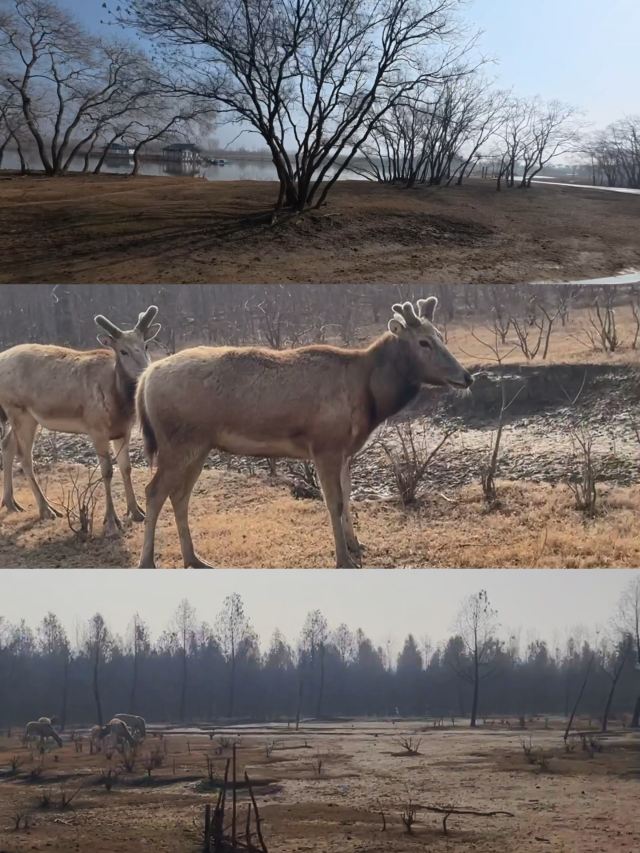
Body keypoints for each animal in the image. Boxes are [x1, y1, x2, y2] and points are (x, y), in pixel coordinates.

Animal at [0, 306, 160, 535]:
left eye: (145, 345)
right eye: (123, 351)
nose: (144, 372)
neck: (118, 401)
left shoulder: (123, 430)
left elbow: (126, 468)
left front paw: (136, 511)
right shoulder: (96, 428)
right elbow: (107, 471)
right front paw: (111, 521)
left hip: (23, 416)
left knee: (7, 445)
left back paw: (11, 503)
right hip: (19, 411)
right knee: (25, 458)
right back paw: (47, 509)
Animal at [136, 297, 473, 569]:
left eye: (439, 336)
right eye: (424, 342)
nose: (466, 377)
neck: (370, 398)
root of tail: (145, 378)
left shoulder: (345, 450)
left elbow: (348, 496)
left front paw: (356, 545)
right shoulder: (325, 444)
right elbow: (334, 502)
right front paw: (343, 559)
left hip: (199, 444)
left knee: (179, 495)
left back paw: (194, 558)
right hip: (177, 442)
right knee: (154, 491)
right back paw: (147, 561)